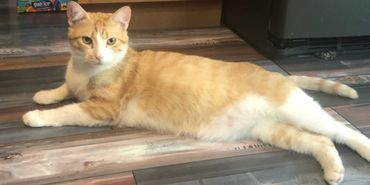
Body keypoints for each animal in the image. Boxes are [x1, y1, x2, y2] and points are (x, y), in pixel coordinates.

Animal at [22, 1, 370, 184]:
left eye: (111, 41)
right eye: (86, 41)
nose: (98, 55)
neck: (87, 71)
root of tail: (271, 72)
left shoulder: (103, 109)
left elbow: (67, 110)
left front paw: (36, 115)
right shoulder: (75, 83)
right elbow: (63, 89)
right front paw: (44, 94)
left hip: (299, 111)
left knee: (343, 131)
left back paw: (362, 149)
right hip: (274, 130)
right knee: (322, 141)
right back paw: (335, 170)